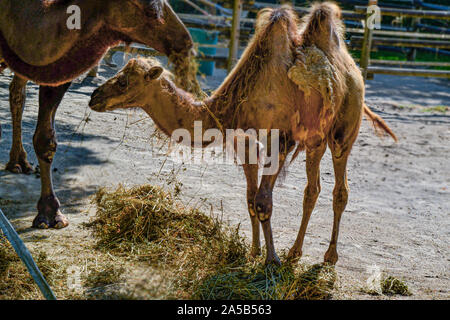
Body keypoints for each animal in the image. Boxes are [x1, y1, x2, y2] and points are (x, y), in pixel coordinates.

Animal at [0, 0, 193, 230]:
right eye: (150, 10)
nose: (185, 40)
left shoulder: (56, 70)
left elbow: (46, 139)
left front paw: (51, 213)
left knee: (17, 92)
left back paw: (19, 162)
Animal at [89, 3, 398, 264]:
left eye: (124, 81)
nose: (94, 96)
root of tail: (353, 69)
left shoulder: (280, 138)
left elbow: (263, 202)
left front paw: (271, 261)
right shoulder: (245, 140)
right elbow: (250, 199)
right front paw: (254, 252)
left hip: (344, 129)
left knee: (340, 189)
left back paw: (329, 257)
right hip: (315, 139)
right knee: (312, 189)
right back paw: (295, 252)